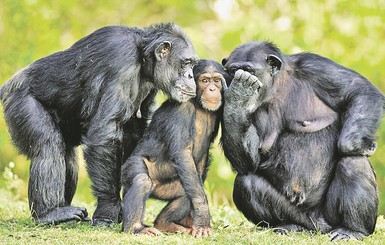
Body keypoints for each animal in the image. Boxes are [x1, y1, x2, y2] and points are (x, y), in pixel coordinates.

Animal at [0, 23, 198, 226]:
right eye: (186, 62)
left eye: (192, 64)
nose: (191, 76)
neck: (143, 58)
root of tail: (7, 86)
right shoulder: (120, 58)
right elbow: (104, 135)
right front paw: (108, 210)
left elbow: (134, 133)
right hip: (21, 102)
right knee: (47, 146)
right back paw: (49, 213)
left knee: (67, 155)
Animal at [120, 59, 228, 237]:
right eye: (205, 80)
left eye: (217, 81)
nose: (212, 89)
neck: (198, 104)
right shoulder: (182, 111)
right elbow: (183, 154)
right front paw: (202, 216)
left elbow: (200, 164)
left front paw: (192, 219)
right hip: (130, 167)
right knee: (142, 181)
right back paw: (135, 228)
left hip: (167, 188)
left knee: (186, 192)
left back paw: (166, 224)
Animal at [219, 41, 384, 240]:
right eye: (232, 71)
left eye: (247, 69)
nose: (237, 78)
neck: (277, 85)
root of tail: (319, 226)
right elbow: (249, 162)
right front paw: (238, 99)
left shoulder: (314, 66)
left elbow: (358, 90)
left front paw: (358, 144)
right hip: (305, 219)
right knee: (247, 183)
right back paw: (290, 225)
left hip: (330, 218)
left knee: (353, 163)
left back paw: (352, 229)